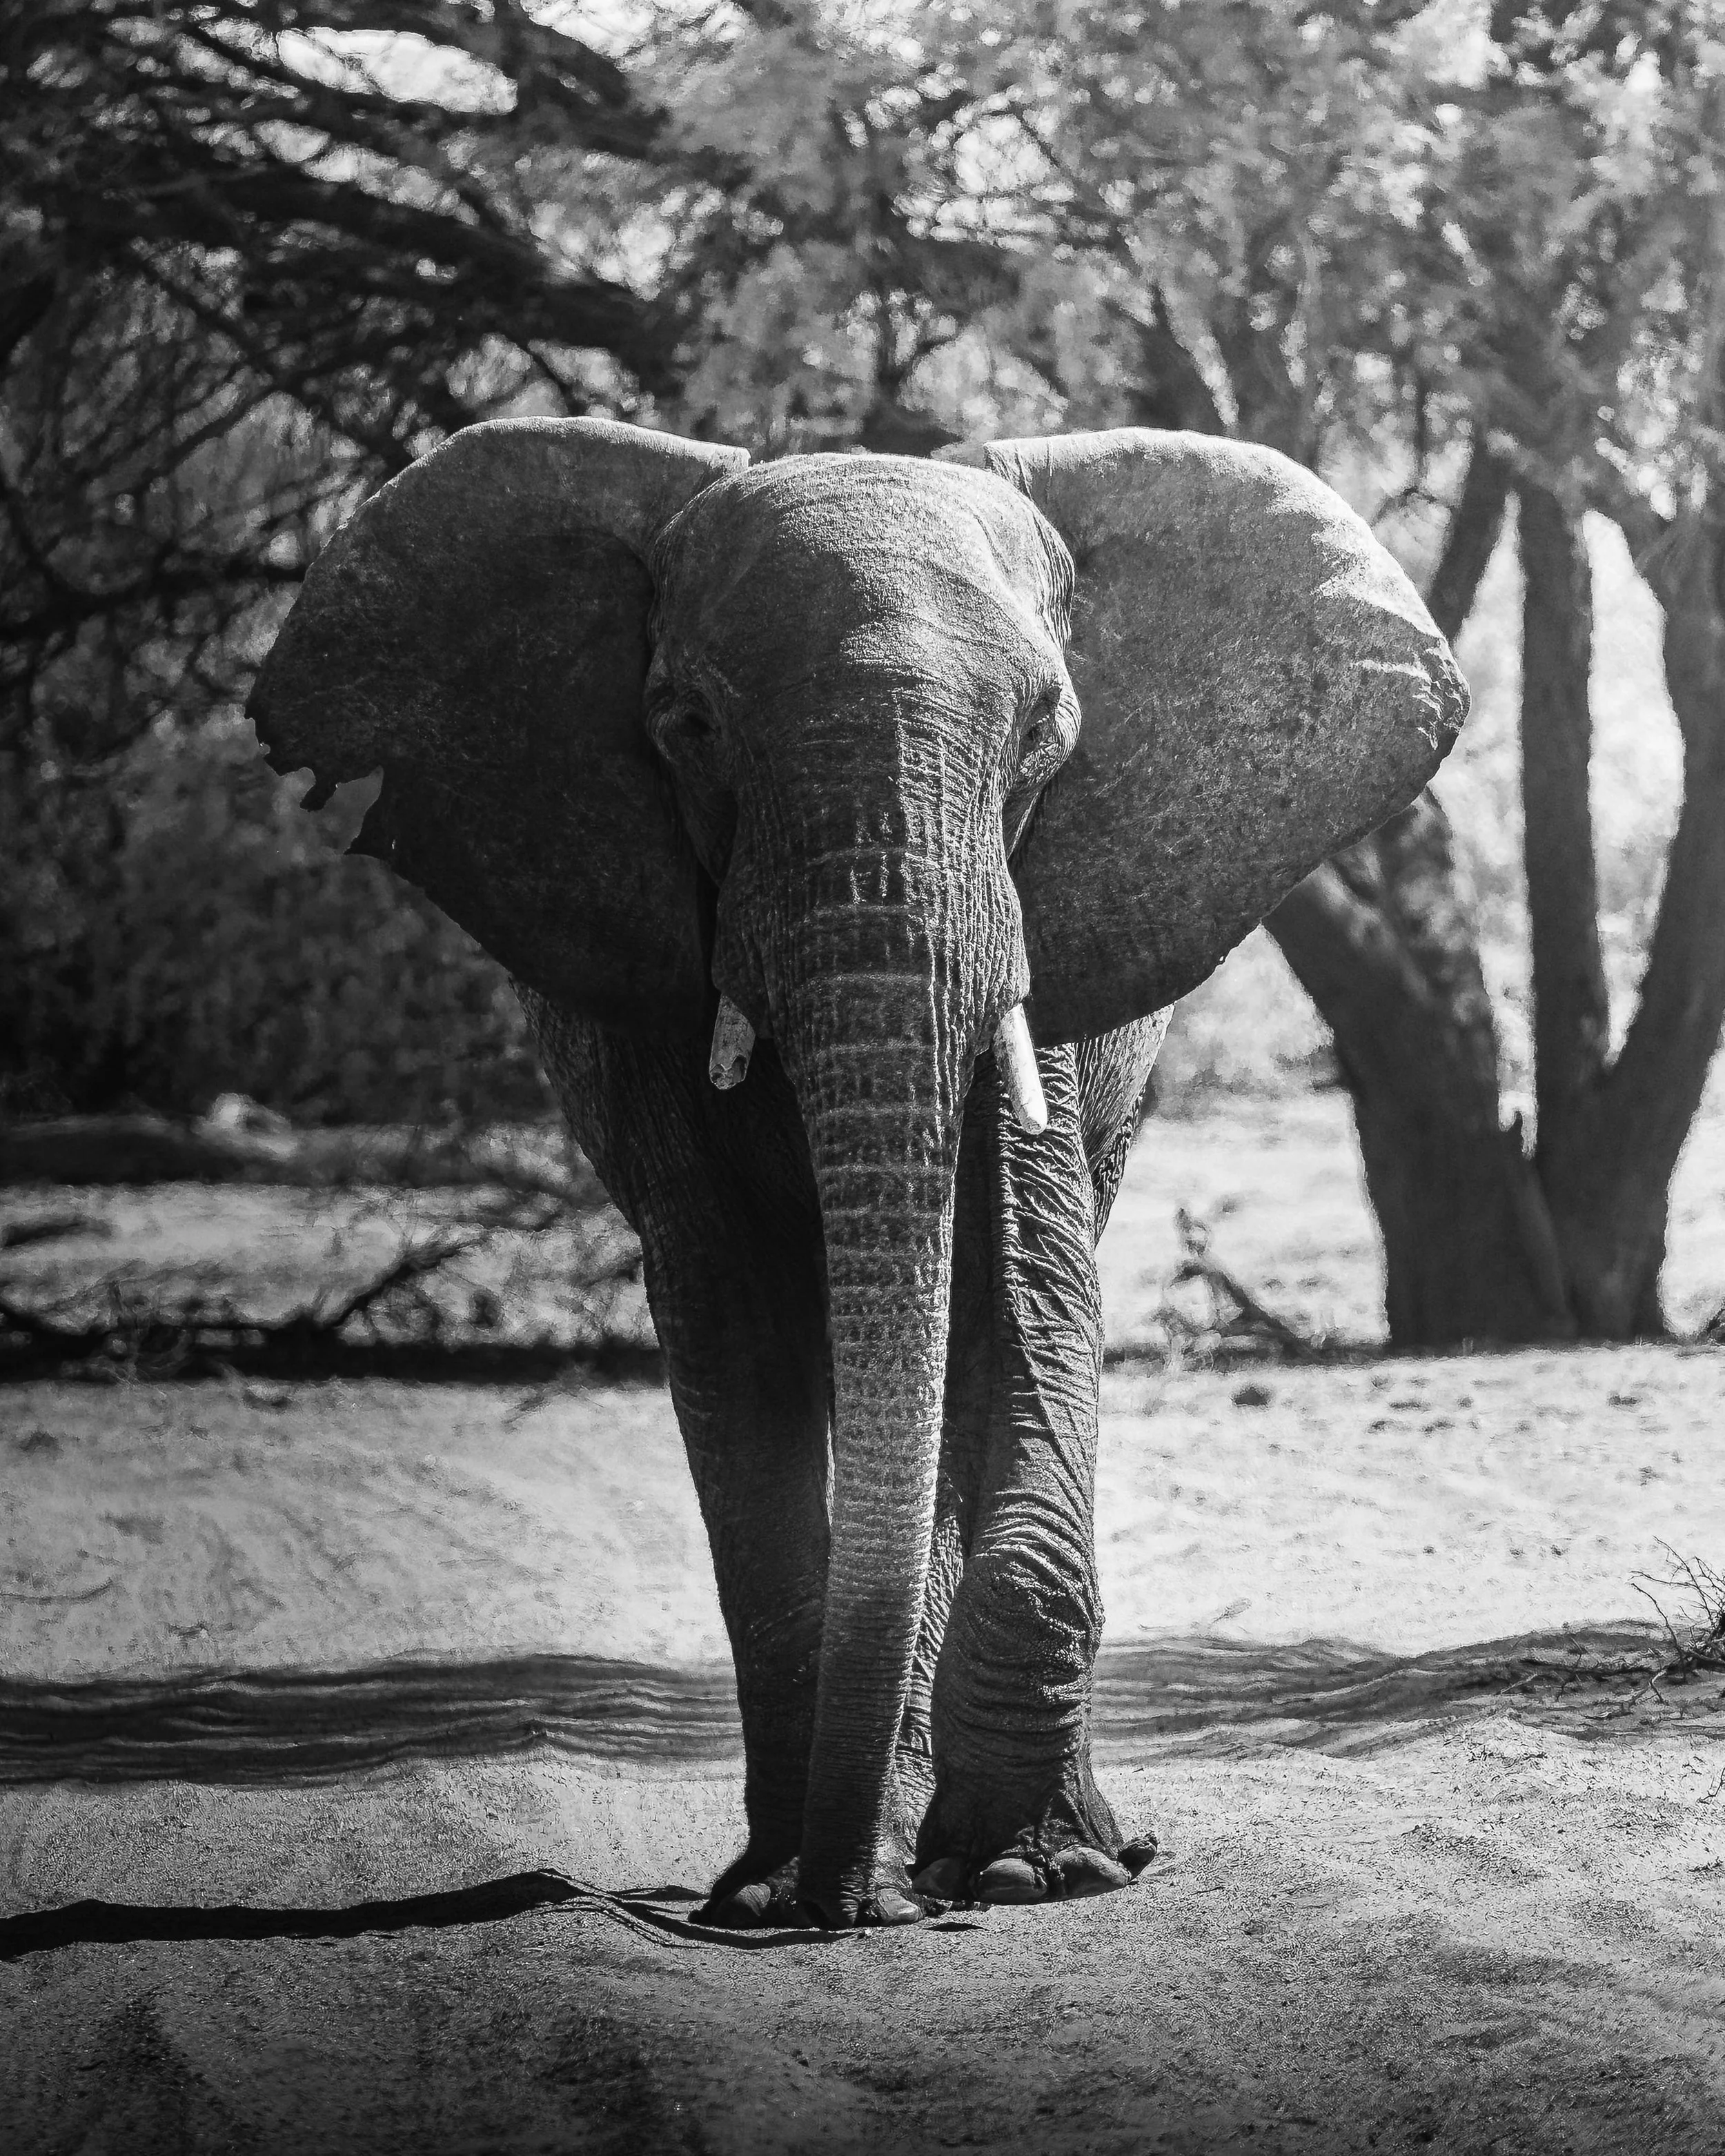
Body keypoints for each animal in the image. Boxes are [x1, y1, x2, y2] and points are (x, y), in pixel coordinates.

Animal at [249, 419, 1466, 1929]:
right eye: (687, 727)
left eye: (1046, 734)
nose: (848, 1906)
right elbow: (734, 1329)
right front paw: (777, 1891)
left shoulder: (1041, 945)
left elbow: (1025, 1296)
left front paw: (1030, 1873)